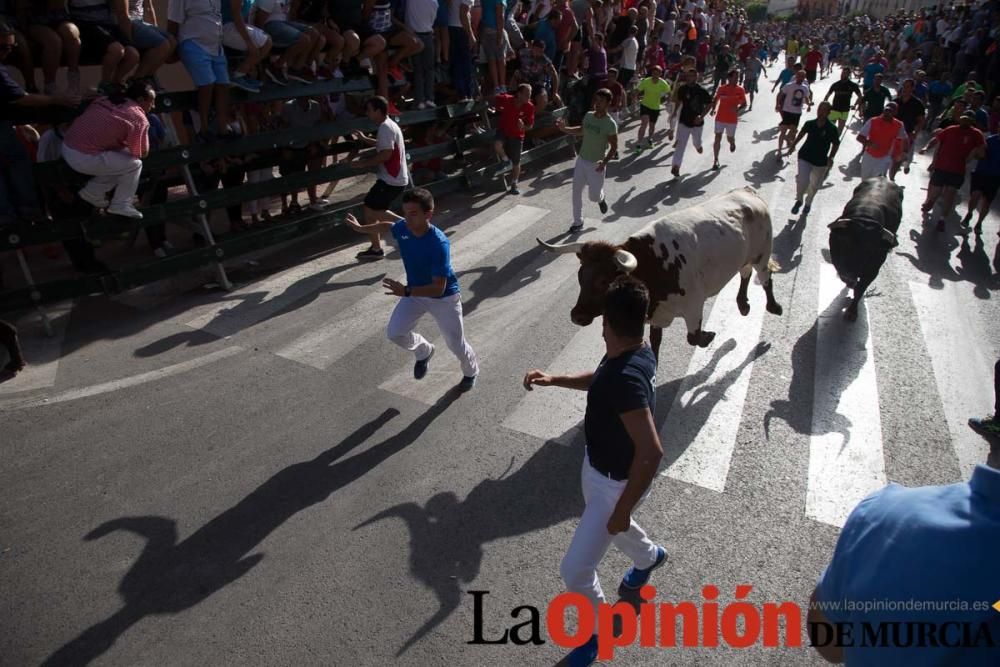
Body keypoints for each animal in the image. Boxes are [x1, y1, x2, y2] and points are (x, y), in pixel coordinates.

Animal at [536, 185, 784, 362]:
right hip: (747, 256)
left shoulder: (694, 305)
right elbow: (655, 342)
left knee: (765, 279)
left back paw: (773, 306)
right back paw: (743, 304)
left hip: (762, 253)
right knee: (745, 273)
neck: (653, 265)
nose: (576, 316)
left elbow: (693, 338)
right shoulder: (657, 315)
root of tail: (746, 192)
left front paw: (708, 337)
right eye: (580, 277)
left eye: (604, 281)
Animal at [824, 177, 904, 324]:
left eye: (871, 249)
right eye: (847, 243)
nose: (851, 271)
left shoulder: (872, 271)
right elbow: (847, 278)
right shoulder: (838, 260)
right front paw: (851, 284)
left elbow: (860, 289)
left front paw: (852, 311)